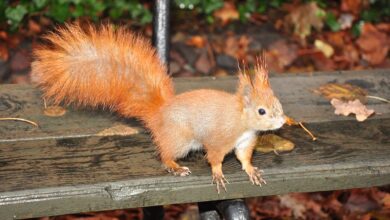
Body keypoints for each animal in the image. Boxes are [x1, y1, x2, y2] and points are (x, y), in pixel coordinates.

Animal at [31, 23, 286, 192]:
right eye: (261, 111)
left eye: (278, 104)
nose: (283, 120)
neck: (241, 122)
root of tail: (159, 113)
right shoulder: (219, 139)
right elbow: (214, 158)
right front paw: (218, 174)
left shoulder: (245, 142)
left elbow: (244, 158)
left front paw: (252, 171)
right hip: (180, 140)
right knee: (164, 155)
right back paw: (175, 166)